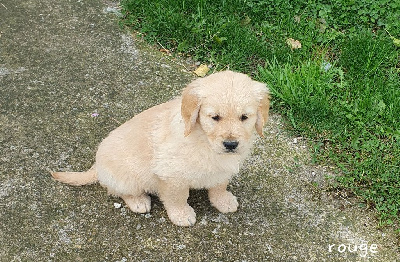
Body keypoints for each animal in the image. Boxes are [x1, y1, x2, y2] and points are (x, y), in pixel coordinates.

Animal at [51, 70, 270, 226]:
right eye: (215, 117)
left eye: (244, 117)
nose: (231, 144)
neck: (203, 140)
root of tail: (96, 165)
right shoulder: (172, 175)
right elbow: (178, 197)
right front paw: (181, 215)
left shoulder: (222, 169)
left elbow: (219, 185)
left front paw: (223, 200)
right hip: (127, 177)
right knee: (118, 190)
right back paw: (139, 201)